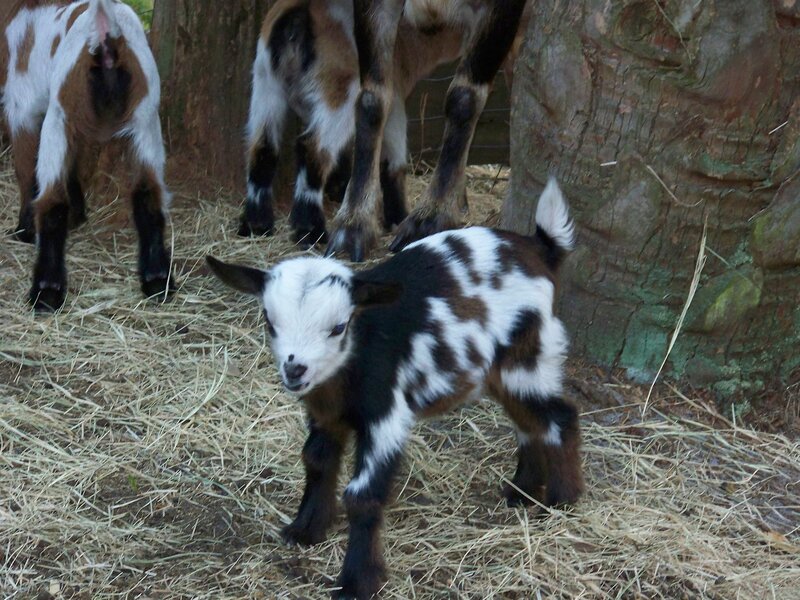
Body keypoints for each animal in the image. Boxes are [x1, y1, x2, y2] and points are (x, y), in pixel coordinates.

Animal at [2, 0, 172, 311]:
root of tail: (106, 37)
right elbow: (74, 163)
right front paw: (79, 213)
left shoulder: (22, 108)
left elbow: (26, 170)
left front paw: (24, 230)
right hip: (145, 119)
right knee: (148, 194)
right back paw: (157, 280)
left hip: (59, 114)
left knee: (52, 200)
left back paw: (46, 291)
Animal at [208, 179, 583, 600]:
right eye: (269, 321)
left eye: (339, 327)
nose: (295, 369)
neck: (356, 356)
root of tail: (540, 248)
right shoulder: (326, 414)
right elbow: (316, 460)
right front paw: (305, 530)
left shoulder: (386, 415)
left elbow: (362, 495)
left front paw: (357, 582)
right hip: (502, 370)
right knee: (527, 420)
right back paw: (520, 494)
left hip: (528, 357)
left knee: (559, 416)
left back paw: (561, 501)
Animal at [240, 0, 527, 260]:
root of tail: (296, 18)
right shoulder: (396, 98)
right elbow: (393, 153)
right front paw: (398, 217)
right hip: (336, 97)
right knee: (312, 148)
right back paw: (310, 229)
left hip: (265, 88)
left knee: (263, 147)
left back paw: (256, 223)